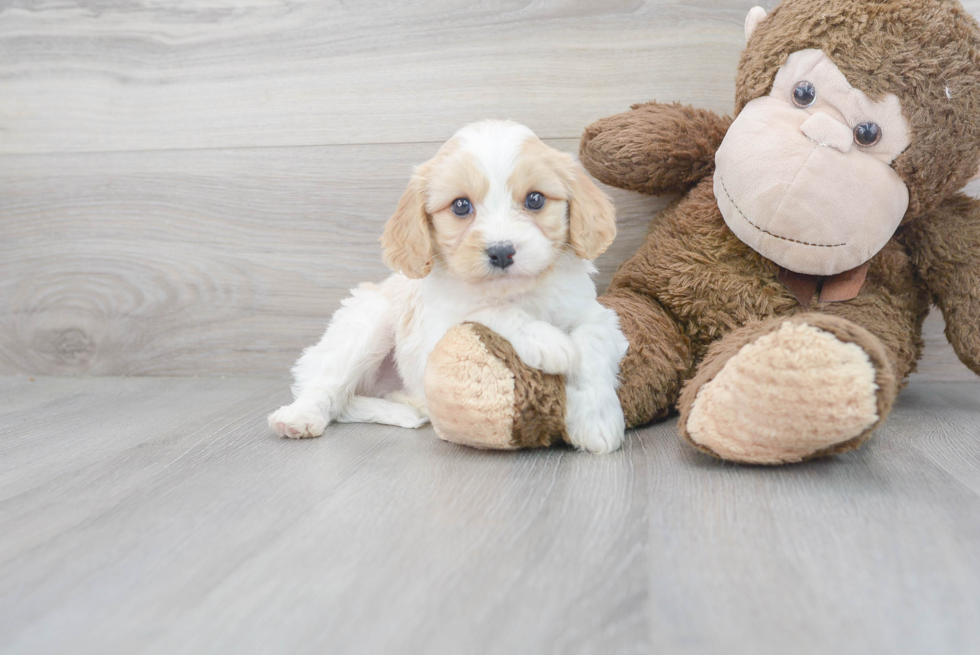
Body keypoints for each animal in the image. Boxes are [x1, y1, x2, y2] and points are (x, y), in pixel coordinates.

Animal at [266, 119, 628, 452]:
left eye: (536, 200)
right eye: (461, 205)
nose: (501, 251)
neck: (517, 291)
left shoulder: (595, 315)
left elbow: (591, 346)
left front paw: (596, 423)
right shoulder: (442, 329)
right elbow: (492, 311)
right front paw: (547, 341)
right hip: (366, 323)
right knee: (325, 389)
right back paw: (299, 418)